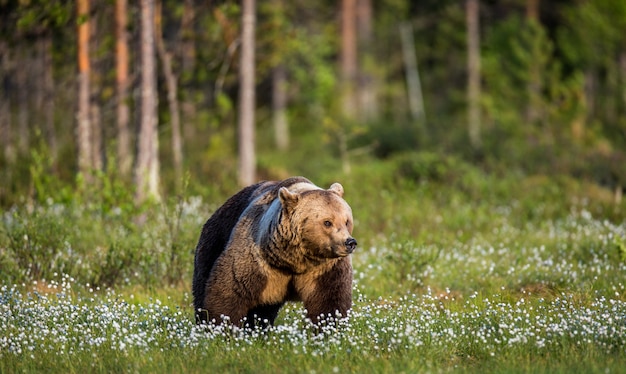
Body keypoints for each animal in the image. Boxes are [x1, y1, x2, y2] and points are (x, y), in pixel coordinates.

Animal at [190, 177, 356, 326]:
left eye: (347, 221)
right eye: (327, 222)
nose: (349, 243)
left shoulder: (325, 268)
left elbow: (329, 301)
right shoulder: (256, 257)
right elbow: (230, 290)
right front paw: (221, 327)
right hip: (214, 241)